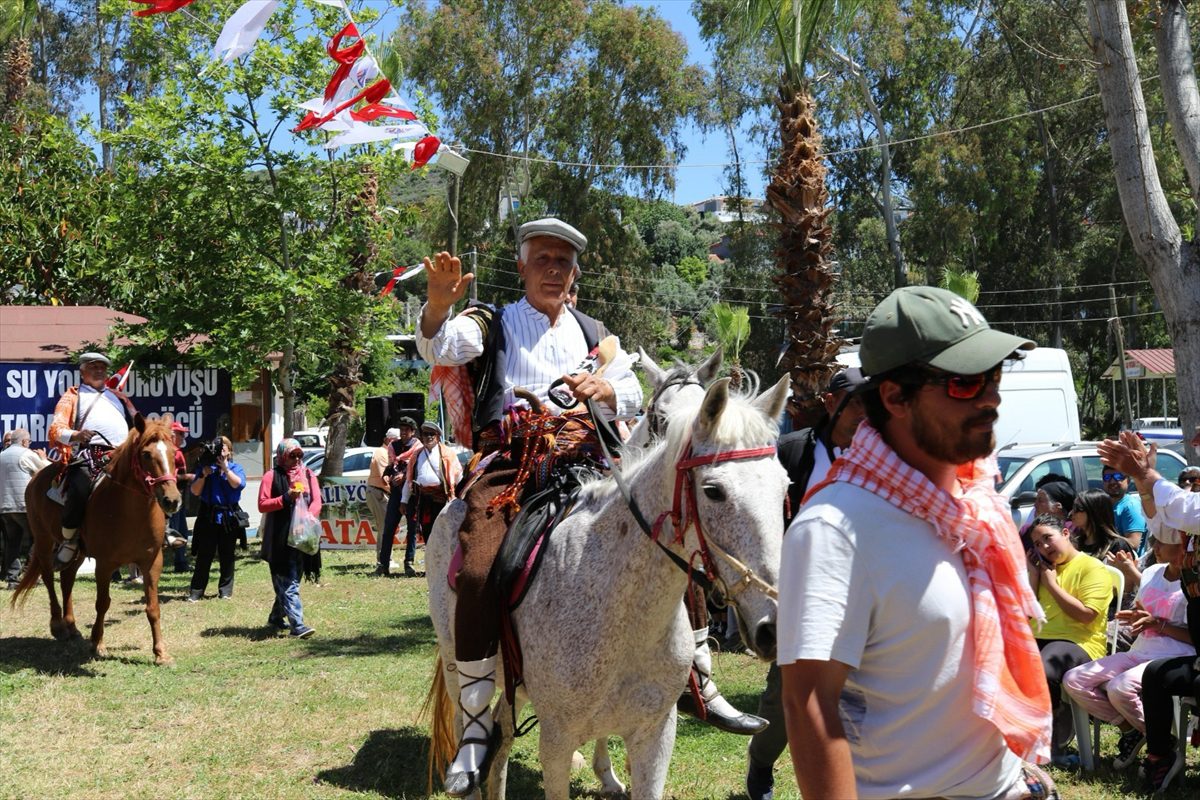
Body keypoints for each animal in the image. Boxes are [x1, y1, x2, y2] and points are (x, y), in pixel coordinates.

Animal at [9, 417, 182, 666]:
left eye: (174, 452)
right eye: (146, 454)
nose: (172, 500)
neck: (131, 512)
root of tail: (37, 477)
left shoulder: (152, 561)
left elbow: (153, 607)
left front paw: (160, 652)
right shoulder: (105, 563)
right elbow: (103, 602)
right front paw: (97, 643)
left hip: (78, 552)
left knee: (67, 580)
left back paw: (72, 627)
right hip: (42, 539)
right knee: (49, 577)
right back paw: (58, 626)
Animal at [427, 376, 792, 800]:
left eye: (785, 486)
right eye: (714, 490)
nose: (774, 629)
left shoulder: (655, 735)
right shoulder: (556, 742)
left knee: (501, 736)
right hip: (455, 661)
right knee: (472, 719)